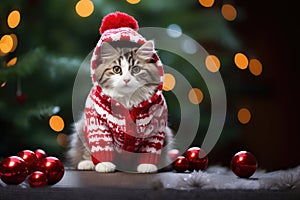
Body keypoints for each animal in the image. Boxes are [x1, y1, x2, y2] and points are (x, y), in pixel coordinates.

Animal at [66, 39, 173, 173]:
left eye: (136, 69)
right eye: (117, 69)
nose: (126, 79)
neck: (128, 100)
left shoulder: (157, 126)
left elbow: (150, 149)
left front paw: (147, 165)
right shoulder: (97, 121)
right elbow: (102, 145)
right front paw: (105, 165)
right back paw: (87, 164)